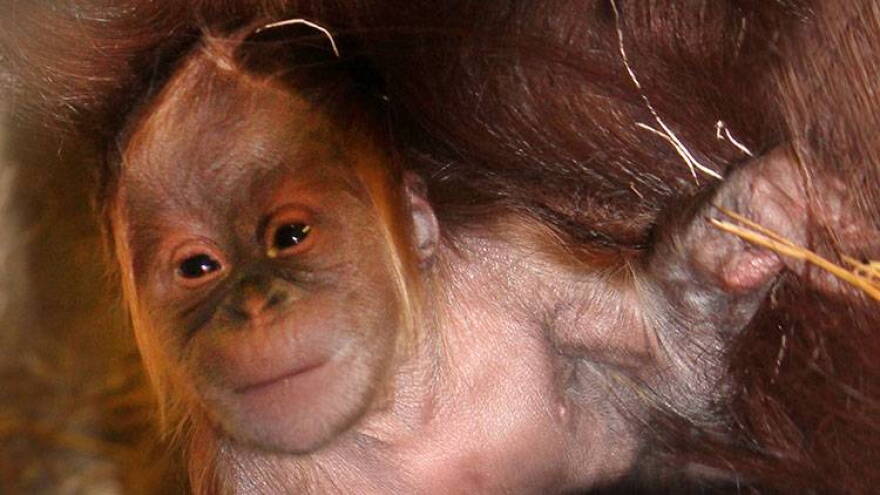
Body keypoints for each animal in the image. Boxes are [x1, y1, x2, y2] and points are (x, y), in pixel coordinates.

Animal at [2, 0, 879, 493]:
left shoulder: (511, 263)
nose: (250, 306)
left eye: (291, 234)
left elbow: (675, 354)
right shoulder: (247, 472)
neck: (402, 407)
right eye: (197, 268)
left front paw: (761, 210)